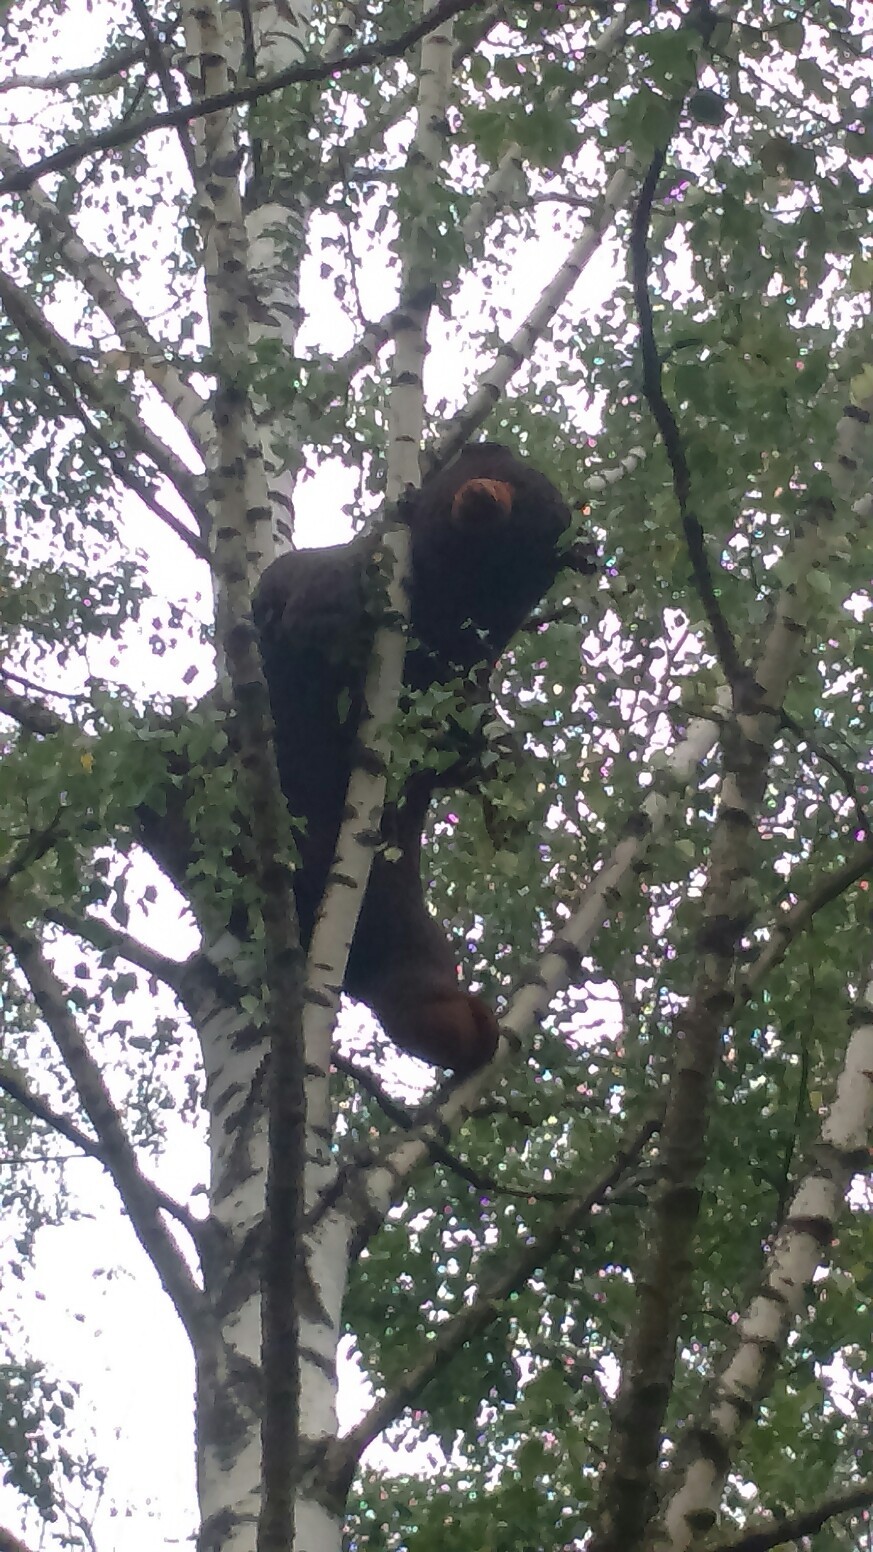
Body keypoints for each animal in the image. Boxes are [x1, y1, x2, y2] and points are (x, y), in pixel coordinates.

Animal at [251, 443, 577, 1073]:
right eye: (493, 469)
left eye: (523, 550)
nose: (483, 497)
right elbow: (306, 588)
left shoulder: (455, 690)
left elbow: (478, 746)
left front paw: (512, 812)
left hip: (399, 917)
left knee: (414, 974)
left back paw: (461, 1026)